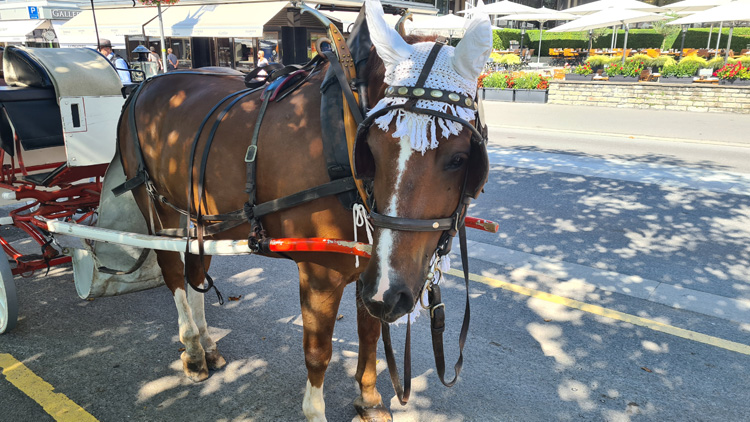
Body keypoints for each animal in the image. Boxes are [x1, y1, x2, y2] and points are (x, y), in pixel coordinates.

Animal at [116, 1, 492, 420]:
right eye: (371, 150)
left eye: (460, 159)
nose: (393, 294)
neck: (342, 127)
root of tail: (143, 84)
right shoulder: (320, 273)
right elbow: (318, 352)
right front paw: (316, 410)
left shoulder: (371, 268)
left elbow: (370, 333)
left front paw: (369, 398)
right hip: (155, 206)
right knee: (173, 272)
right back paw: (194, 349)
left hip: (203, 214)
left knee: (195, 269)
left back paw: (206, 345)